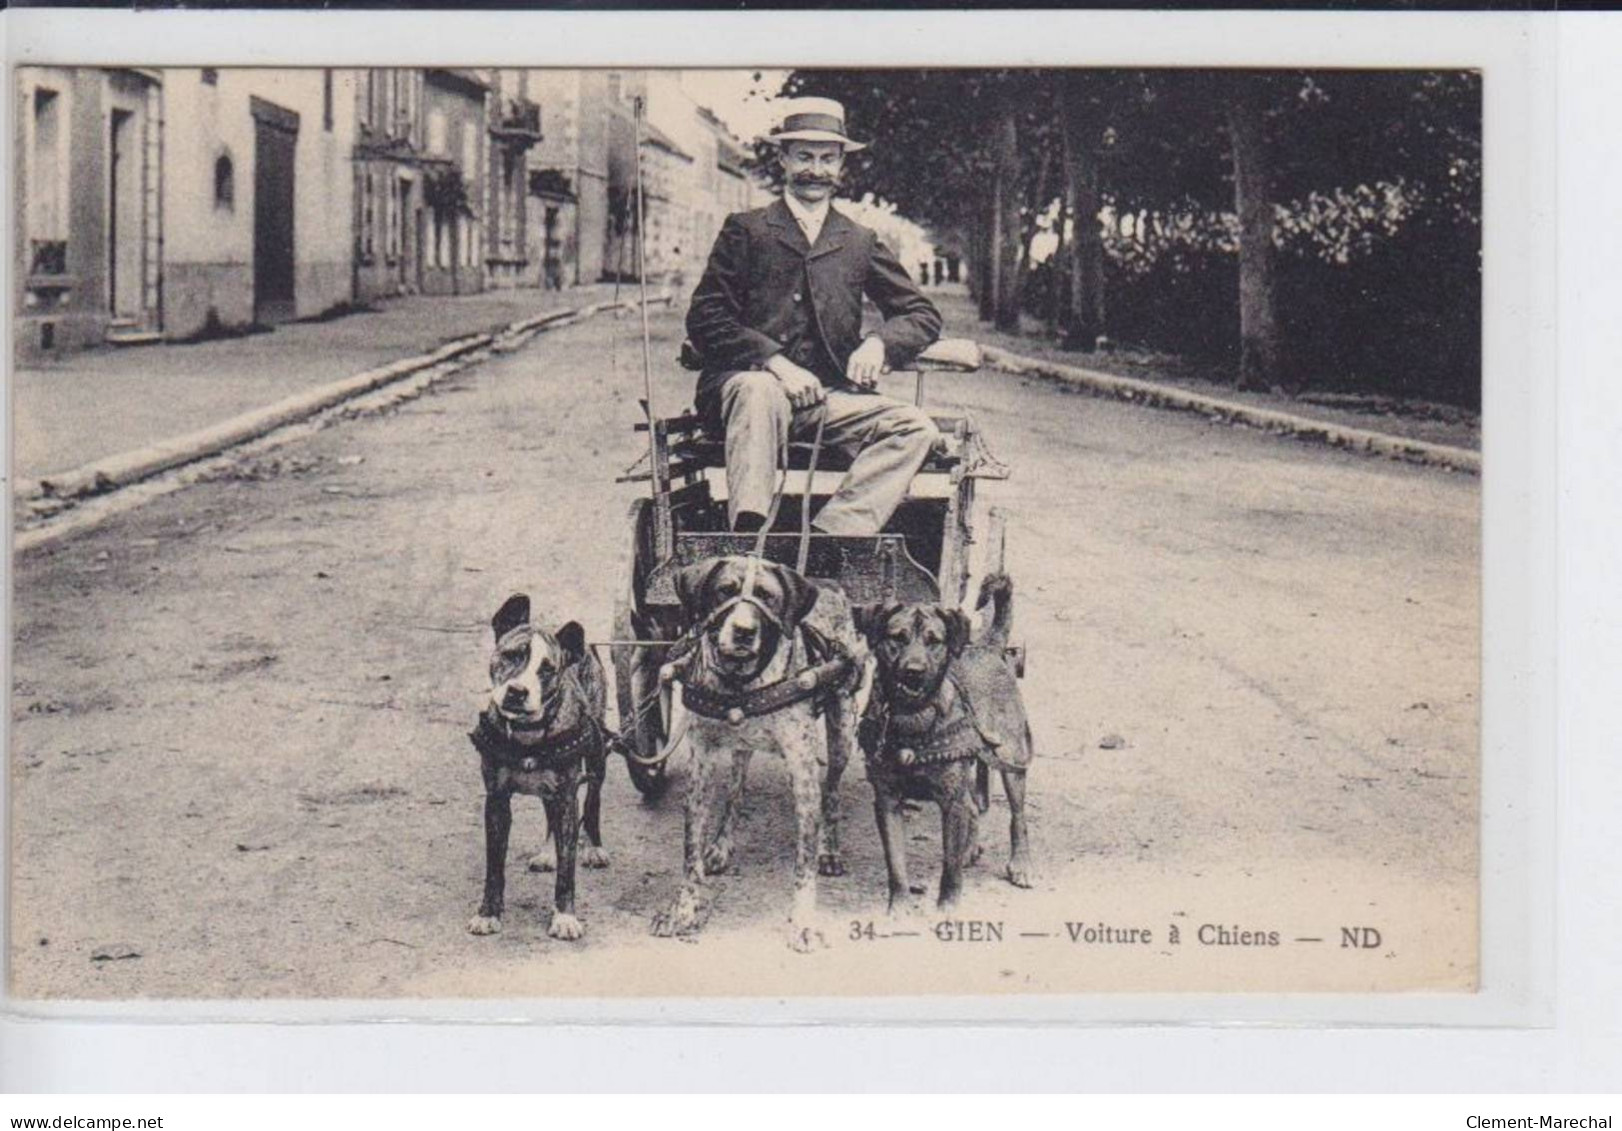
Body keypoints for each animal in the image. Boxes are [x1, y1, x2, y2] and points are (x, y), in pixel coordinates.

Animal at [467, 597, 609, 941]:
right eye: (511, 655)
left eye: (547, 670)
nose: (518, 691)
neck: (526, 736)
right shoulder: (496, 800)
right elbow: (494, 866)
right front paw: (488, 914)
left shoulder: (567, 798)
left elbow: (567, 869)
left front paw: (565, 917)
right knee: (549, 813)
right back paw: (547, 853)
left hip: (596, 758)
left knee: (593, 799)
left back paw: (594, 847)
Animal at [652, 554, 869, 954]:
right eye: (725, 591)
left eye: (768, 597)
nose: (742, 631)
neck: (741, 683)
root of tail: (829, 584)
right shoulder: (702, 762)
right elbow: (691, 853)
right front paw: (683, 910)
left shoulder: (802, 771)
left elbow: (804, 862)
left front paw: (803, 922)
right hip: (741, 749)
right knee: (736, 792)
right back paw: (722, 845)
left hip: (843, 730)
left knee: (831, 792)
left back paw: (831, 850)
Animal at [856, 577, 1031, 915]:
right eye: (897, 638)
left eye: (934, 641)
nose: (914, 672)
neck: (913, 717)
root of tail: (989, 647)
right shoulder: (887, 801)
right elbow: (896, 867)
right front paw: (898, 910)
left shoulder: (951, 802)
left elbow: (949, 870)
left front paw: (947, 909)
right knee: (974, 808)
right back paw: (970, 849)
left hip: (1011, 759)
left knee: (1018, 818)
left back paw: (1020, 864)